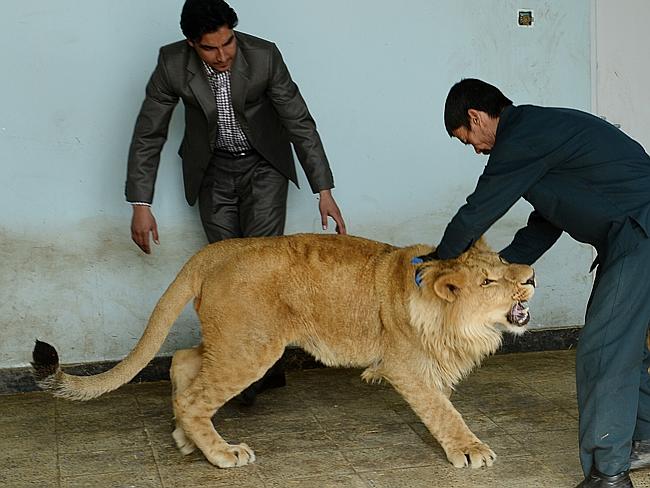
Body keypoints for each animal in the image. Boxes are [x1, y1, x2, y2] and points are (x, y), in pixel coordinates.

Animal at [30, 234, 536, 470]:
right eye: (489, 281)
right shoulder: (404, 366)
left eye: (504, 262)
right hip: (252, 346)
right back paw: (222, 453)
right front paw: (470, 450)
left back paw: (185, 438)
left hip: (233, 340)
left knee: (182, 361)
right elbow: (442, 410)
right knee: (194, 394)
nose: (531, 276)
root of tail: (214, 252)